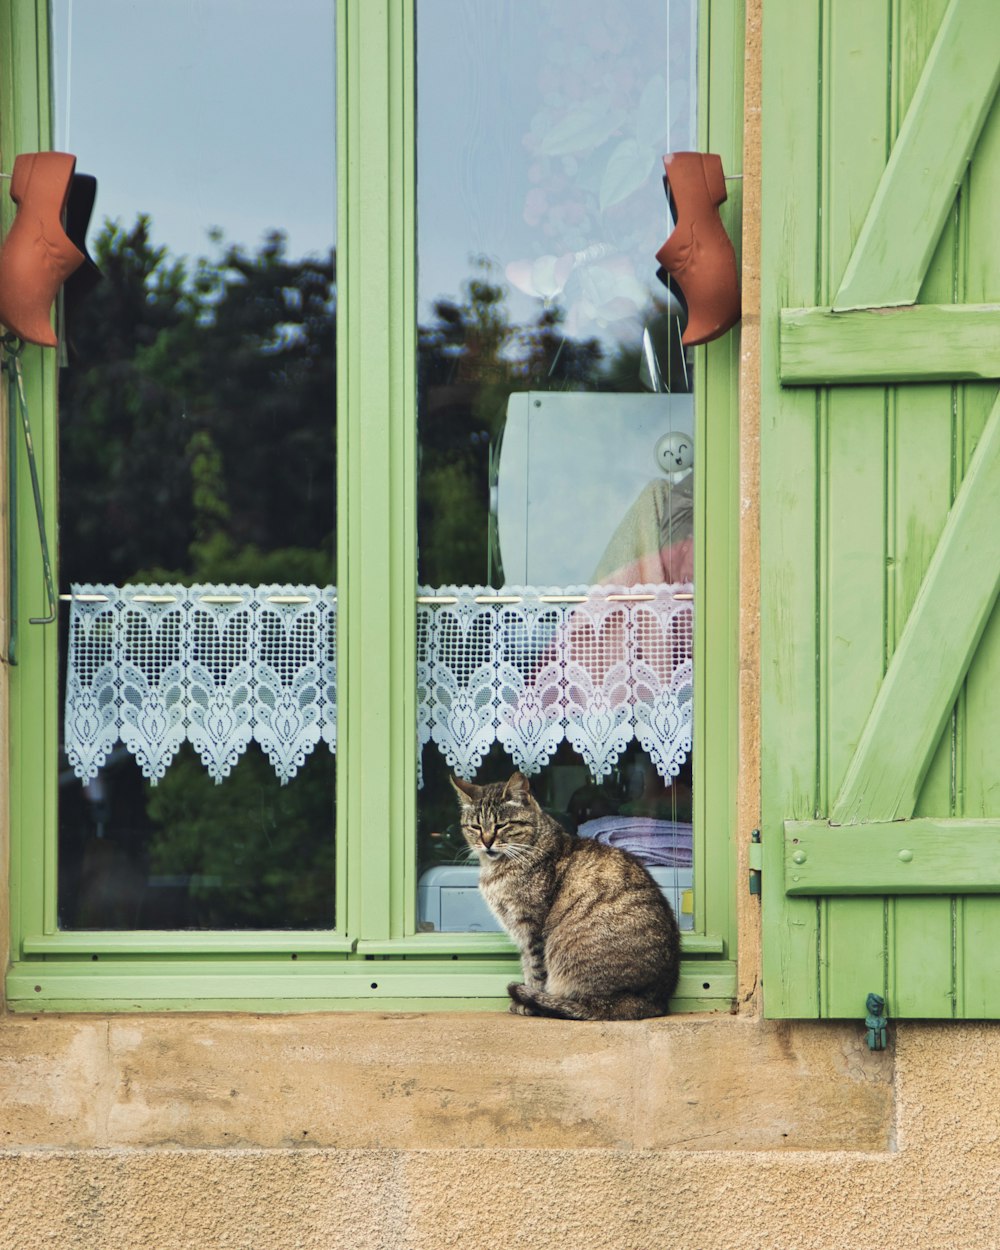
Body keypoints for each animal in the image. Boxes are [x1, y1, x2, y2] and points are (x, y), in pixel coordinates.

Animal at [450, 765, 680, 1020]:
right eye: (476, 827)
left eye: (502, 825)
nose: (487, 842)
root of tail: (653, 1001)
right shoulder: (521, 934)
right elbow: (528, 969)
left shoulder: (532, 930)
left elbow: (536, 974)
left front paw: (528, 1004)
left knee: (588, 1006)